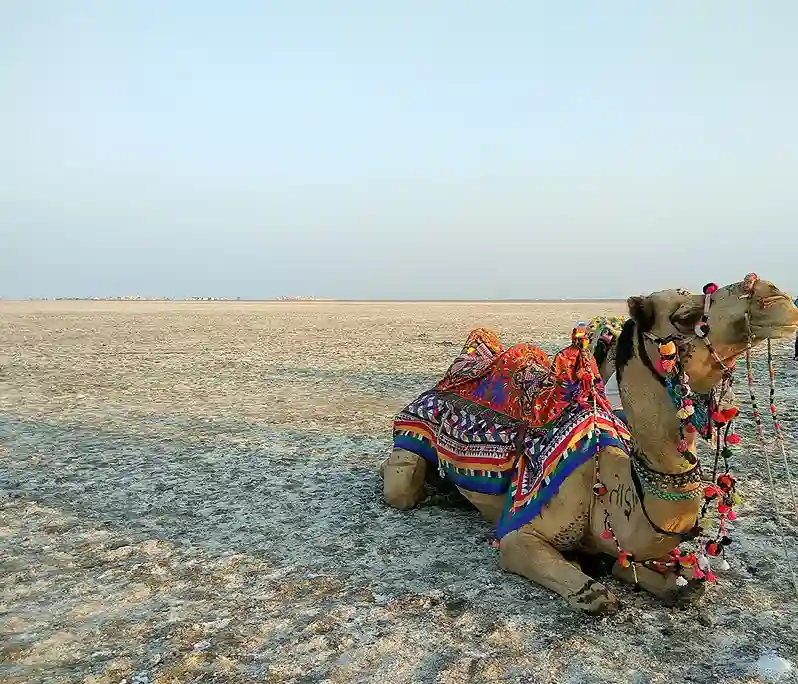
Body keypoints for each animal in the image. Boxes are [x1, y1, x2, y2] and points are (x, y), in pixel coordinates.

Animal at [382, 278, 798, 616]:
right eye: (685, 316)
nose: (775, 296)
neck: (612, 489)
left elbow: (681, 584)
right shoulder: (519, 535)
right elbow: (597, 597)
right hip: (409, 445)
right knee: (400, 487)